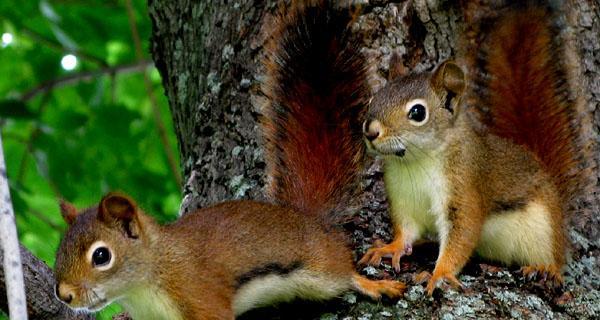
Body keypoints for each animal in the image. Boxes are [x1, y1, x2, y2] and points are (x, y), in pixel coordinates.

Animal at [54, 3, 406, 320]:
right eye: (60, 248)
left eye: (101, 255)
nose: (64, 294)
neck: (153, 273)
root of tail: (307, 218)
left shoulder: (200, 294)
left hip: (321, 269)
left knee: (343, 274)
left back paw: (373, 284)